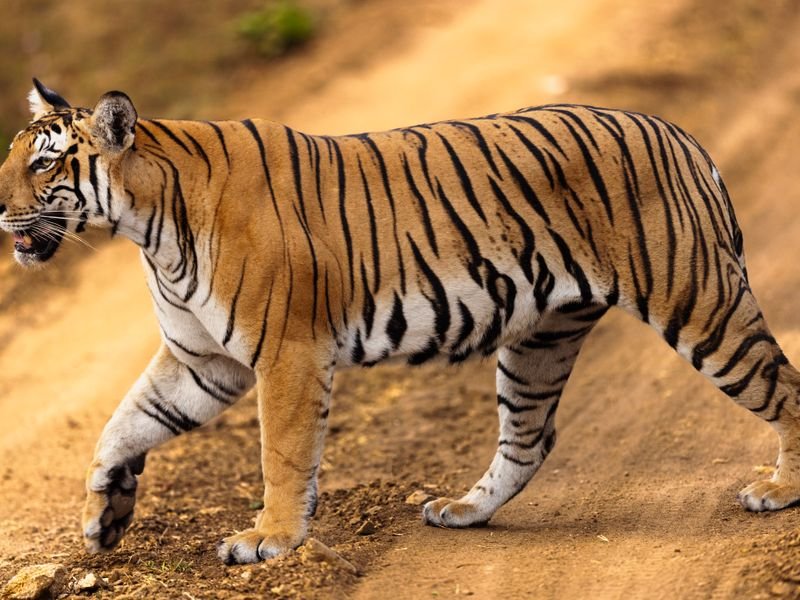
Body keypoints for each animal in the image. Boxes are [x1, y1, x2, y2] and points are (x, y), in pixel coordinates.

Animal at [0, 78, 798, 565]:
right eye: (12, 157)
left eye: (42, 166)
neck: (147, 225)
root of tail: (679, 133)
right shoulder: (203, 362)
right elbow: (124, 423)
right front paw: (104, 515)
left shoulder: (285, 353)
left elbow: (282, 456)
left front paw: (270, 540)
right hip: (541, 337)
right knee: (529, 440)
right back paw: (465, 510)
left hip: (698, 302)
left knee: (784, 386)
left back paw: (779, 492)